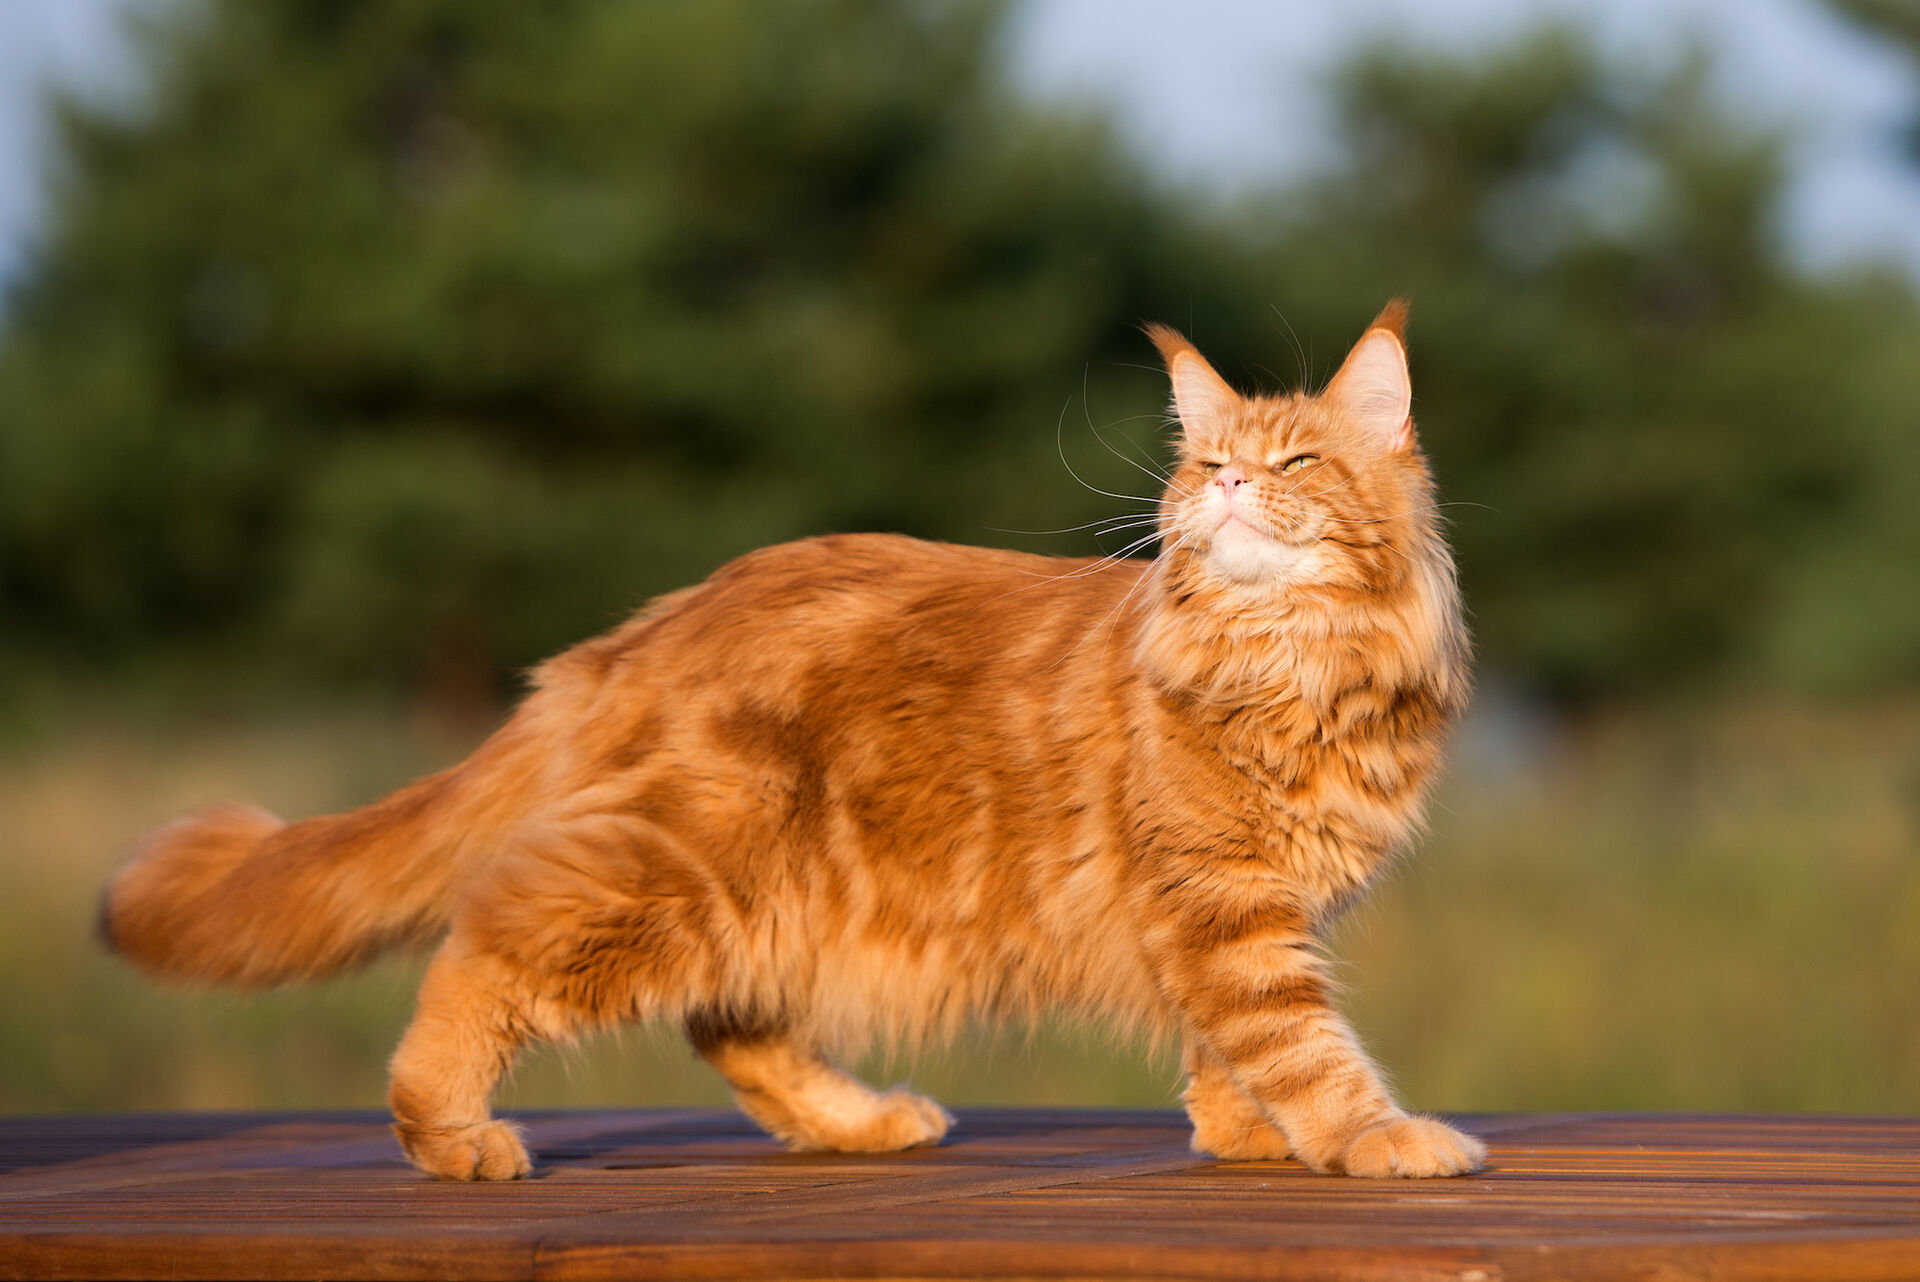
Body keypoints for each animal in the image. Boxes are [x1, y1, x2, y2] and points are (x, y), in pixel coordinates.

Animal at [101, 303, 1482, 1182]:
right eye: (1204, 467)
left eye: (1292, 460)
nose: (1230, 489)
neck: (1295, 662)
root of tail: (641, 630)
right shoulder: (1224, 904)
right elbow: (1300, 1041)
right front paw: (1371, 1137)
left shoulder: (1242, 906)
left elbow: (1227, 1049)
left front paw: (1244, 1133)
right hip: (689, 867)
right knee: (488, 943)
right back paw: (446, 1130)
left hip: (783, 898)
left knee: (732, 1027)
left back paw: (857, 1121)